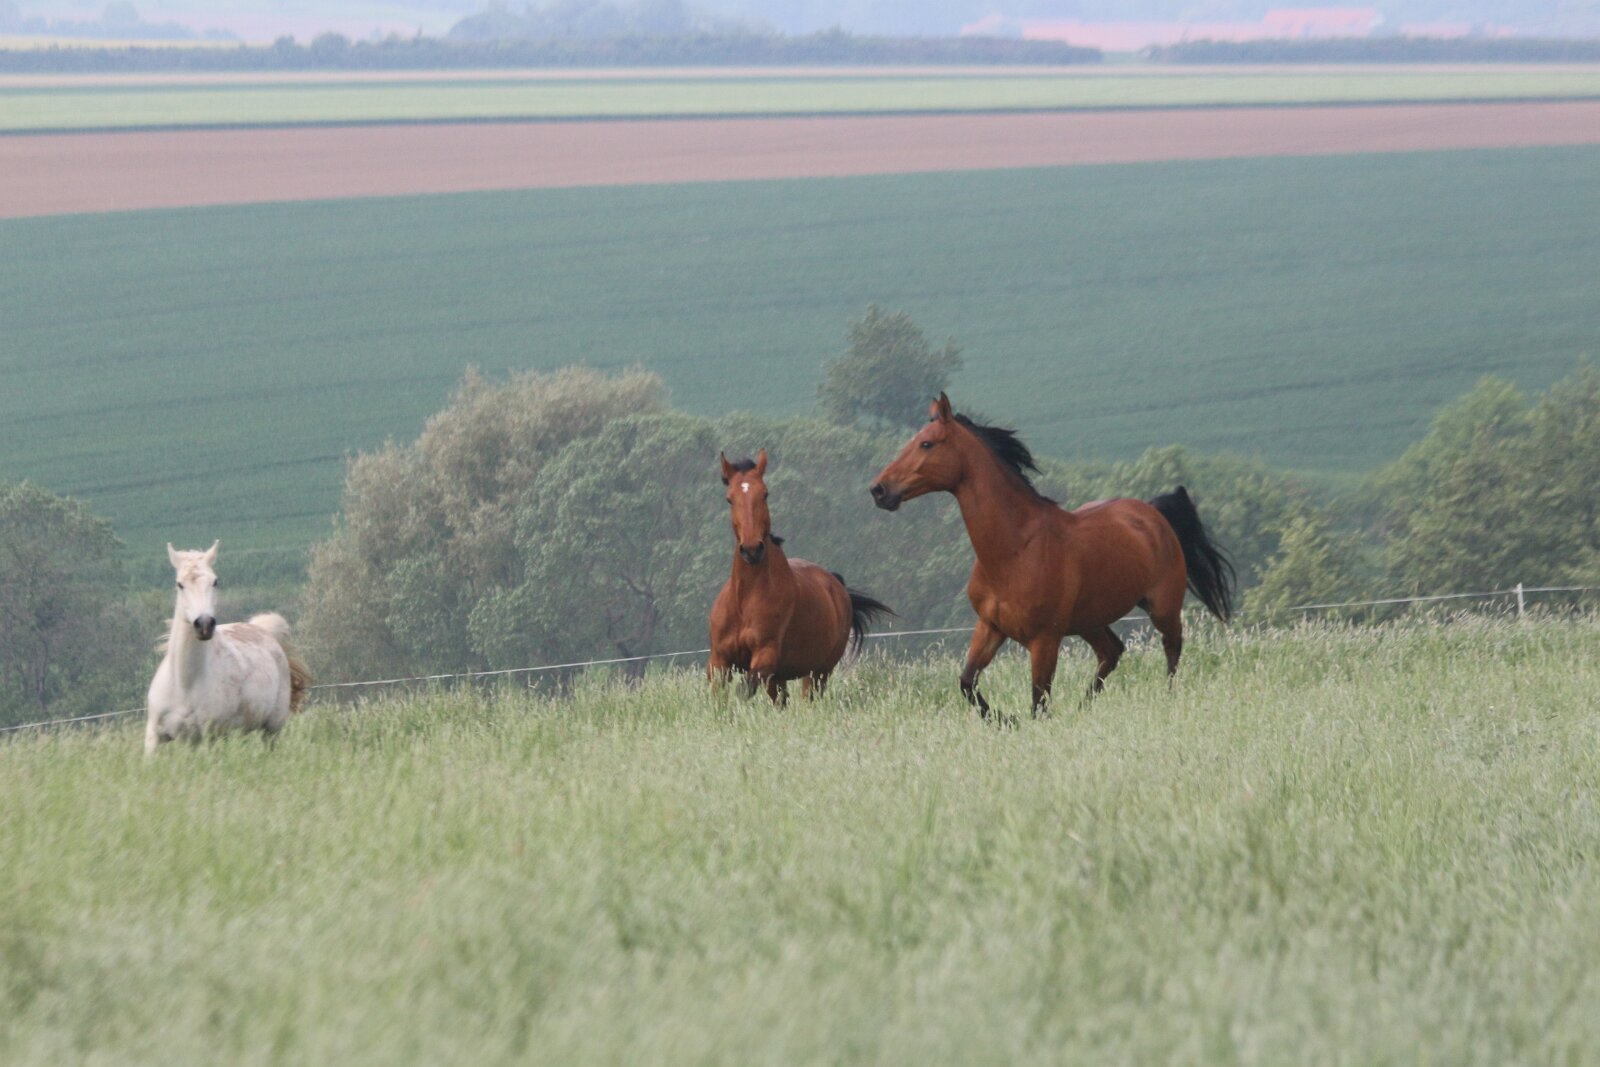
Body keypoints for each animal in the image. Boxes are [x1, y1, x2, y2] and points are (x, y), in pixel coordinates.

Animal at [145, 541, 311, 755]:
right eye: (180, 584)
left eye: (215, 582)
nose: (204, 624)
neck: (185, 684)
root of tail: (262, 629)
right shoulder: (154, 738)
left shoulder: (207, 738)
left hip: (271, 728)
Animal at [709, 450, 893, 704]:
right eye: (729, 499)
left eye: (765, 494)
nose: (752, 549)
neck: (744, 601)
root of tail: (837, 585)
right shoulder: (719, 663)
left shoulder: (765, 658)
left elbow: (744, 691)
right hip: (780, 678)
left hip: (818, 672)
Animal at [870, 393, 1234, 719]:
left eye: (927, 444)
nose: (879, 490)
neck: (1014, 550)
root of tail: (1153, 512)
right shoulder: (990, 626)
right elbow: (967, 683)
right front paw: (1005, 719)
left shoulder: (1044, 640)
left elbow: (1038, 703)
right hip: (1090, 620)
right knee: (1112, 652)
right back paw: (1082, 710)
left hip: (1162, 607)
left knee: (1172, 651)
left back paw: (1166, 699)